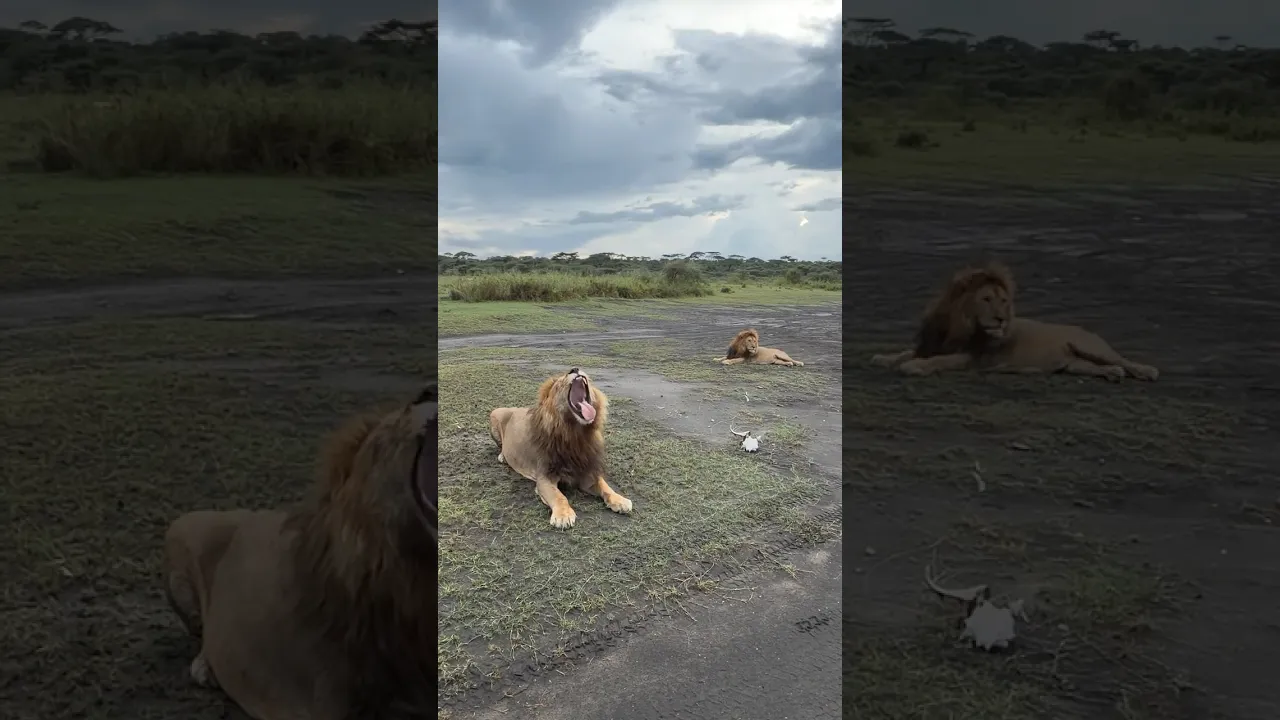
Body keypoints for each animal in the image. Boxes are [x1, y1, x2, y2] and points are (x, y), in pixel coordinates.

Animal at [488, 367, 633, 529]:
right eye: (559, 383)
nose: (575, 368)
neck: (575, 435)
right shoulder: (545, 477)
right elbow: (559, 496)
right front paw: (563, 516)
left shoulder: (587, 471)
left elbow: (605, 486)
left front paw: (620, 500)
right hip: (495, 414)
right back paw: (502, 456)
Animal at [870, 262, 1160, 382]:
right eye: (986, 299)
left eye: (1004, 301)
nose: (1001, 319)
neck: (957, 324)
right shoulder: (931, 344)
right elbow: (905, 352)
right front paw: (883, 358)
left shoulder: (972, 358)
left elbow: (939, 361)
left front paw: (913, 367)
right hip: (1075, 365)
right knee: (1100, 367)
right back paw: (1112, 374)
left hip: (1091, 346)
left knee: (1125, 361)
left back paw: (1146, 371)